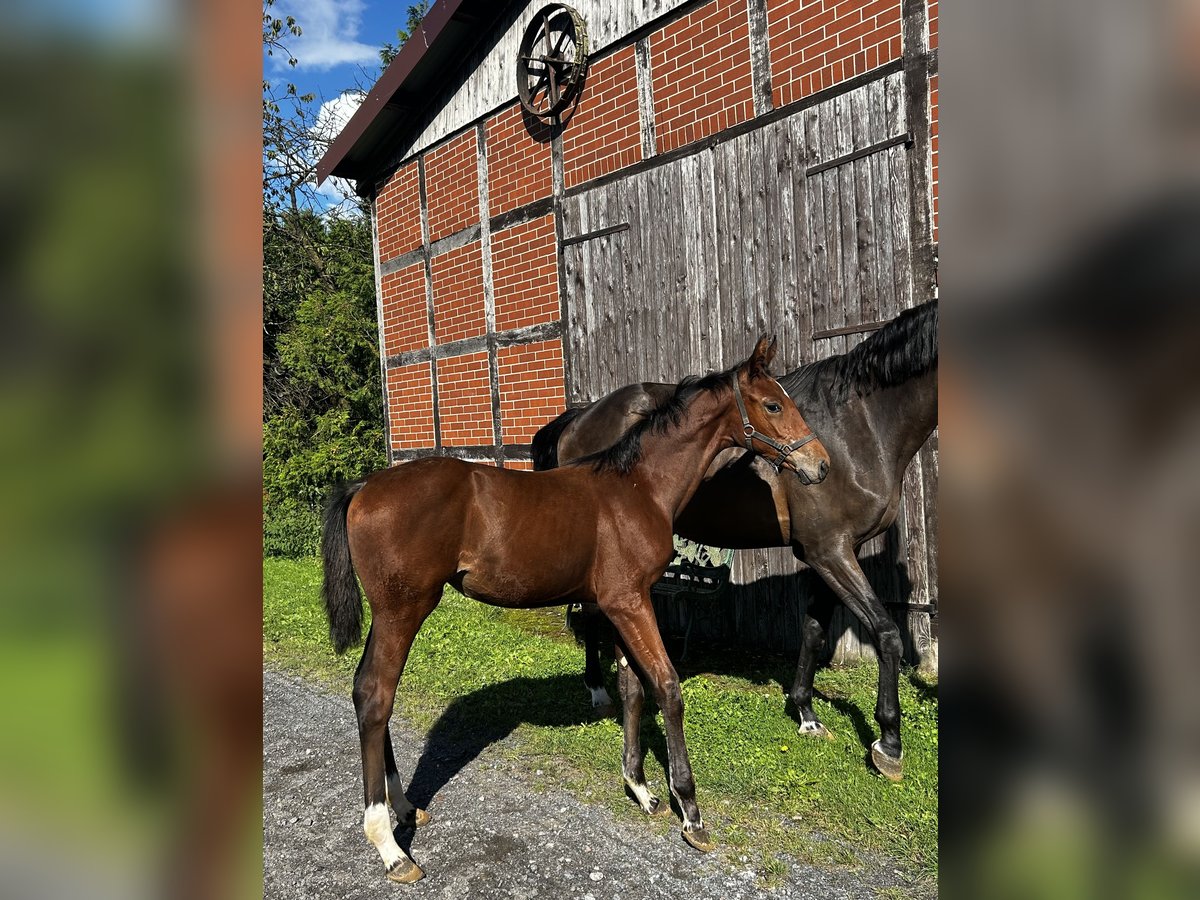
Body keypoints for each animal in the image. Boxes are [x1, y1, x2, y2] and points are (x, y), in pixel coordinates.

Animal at [319, 336, 825, 883]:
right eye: (772, 405)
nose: (820, 465)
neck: (638, 488)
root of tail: (362, 488)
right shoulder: (630, 602)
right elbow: (667, 687)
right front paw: (690, 812)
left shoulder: (619, 603)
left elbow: (631, 688)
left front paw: (641, 789)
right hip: (403, 610)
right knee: (376, 695)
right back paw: (390, 846)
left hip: (391, 614)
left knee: (365, 688)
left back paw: (406, 808)